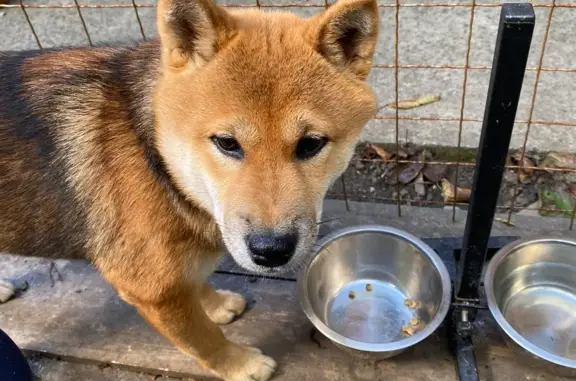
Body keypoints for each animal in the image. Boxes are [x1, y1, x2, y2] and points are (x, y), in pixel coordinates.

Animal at [0, 0, 378, 378]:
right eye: (227, 143)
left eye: (311, 144)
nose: (271, 251)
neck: (158, 161)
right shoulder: (150, 290)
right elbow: (202, 338)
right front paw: (240, 364)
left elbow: (194, 287)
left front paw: (215, 304)